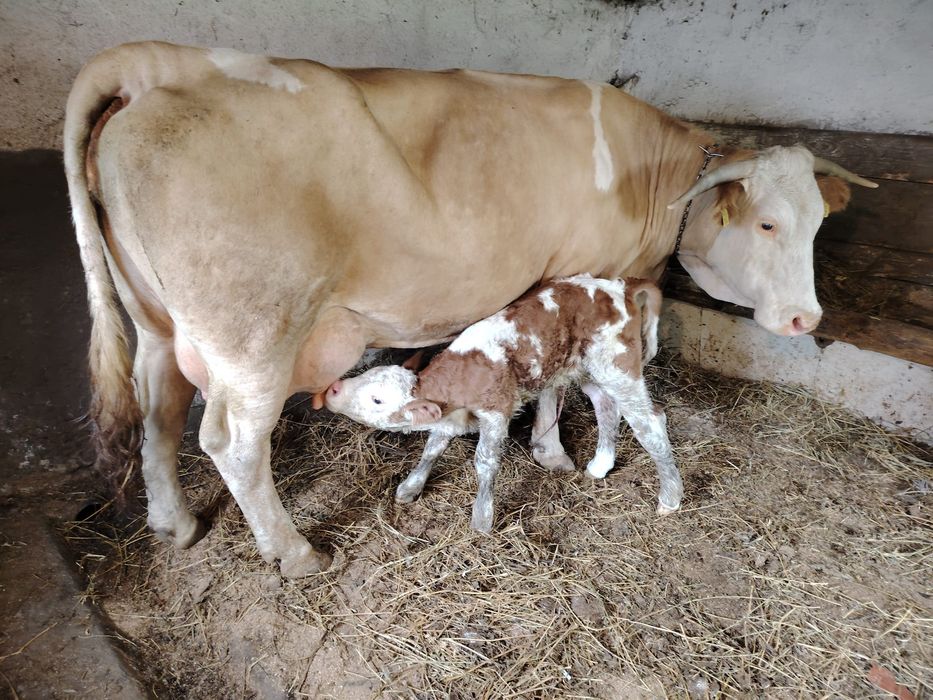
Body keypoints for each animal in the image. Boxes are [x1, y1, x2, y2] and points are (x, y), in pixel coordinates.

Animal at [323, 275, 683, 532]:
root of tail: (619, 285)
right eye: (366, 374)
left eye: (377, 399)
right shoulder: (449, 417)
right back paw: (600, 465)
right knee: (606, 406)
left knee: (650, 421)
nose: (334, 388)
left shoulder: (496, 412)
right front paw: (410, 488)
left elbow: (485, 461)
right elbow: (432, 448)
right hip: (588, 370)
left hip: (618, 366)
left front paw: (482, 519)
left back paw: (670, 498)